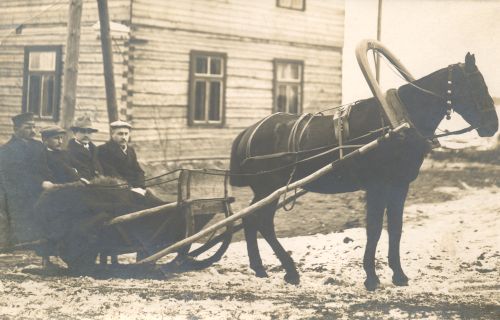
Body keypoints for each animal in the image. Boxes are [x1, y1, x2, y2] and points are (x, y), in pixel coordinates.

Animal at [229, 53, 498, 290]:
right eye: (475, 85)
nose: (492, 125)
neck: (396, 123)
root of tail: (246, 132)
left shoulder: (400, 185)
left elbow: (396, 227)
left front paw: (399, 275)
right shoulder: (377, 186)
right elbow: (375, 228)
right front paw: (371, 277)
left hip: (264, 190)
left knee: (249, 218)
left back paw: (259, 268)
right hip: (269, 187)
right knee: (263, 222)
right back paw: (290, 270)